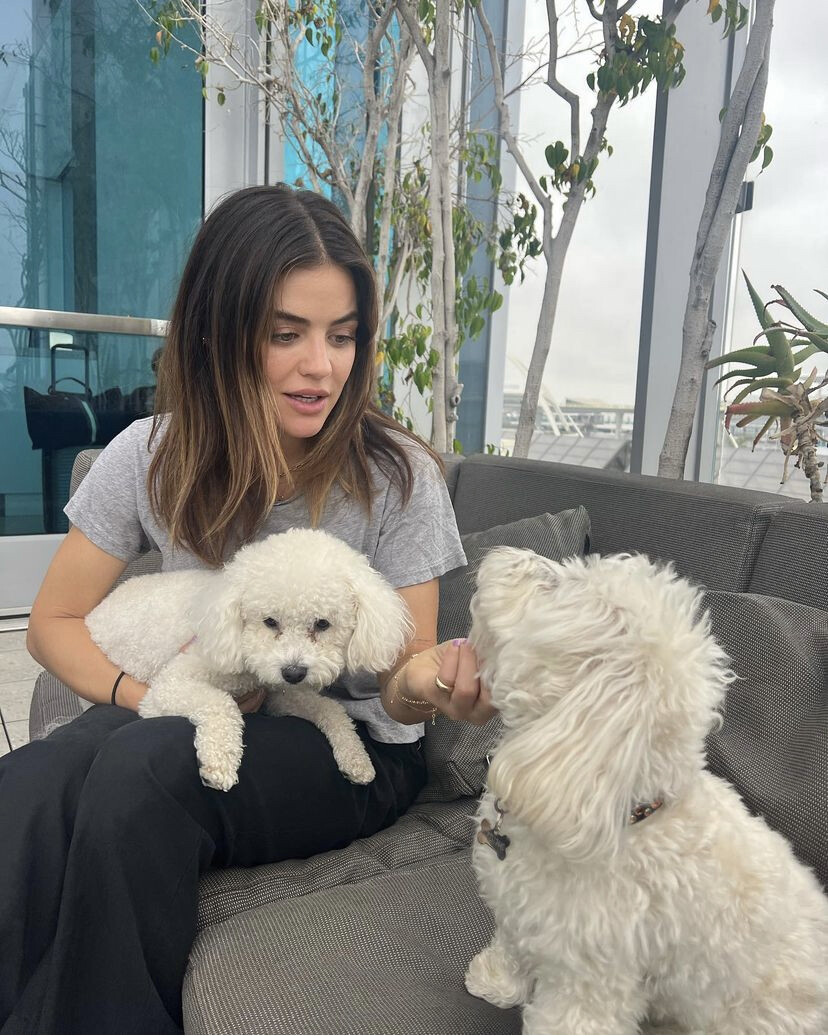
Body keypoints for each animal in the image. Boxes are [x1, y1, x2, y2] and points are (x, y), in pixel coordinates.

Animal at [86, 528, 411, 791]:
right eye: (269, 622)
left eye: (322, 624)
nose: (294, 673)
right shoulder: (168, 687)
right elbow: (220, 703)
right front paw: (218, 763)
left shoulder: (277, 694)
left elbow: (330, 709)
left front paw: (357, 758)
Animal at [464, 549, 828, 1035]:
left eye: (562, 586)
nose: (503, 552)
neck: (620, 806)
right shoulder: (520, 915)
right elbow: (512, 944)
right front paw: (495, 980)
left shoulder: (591, 983)